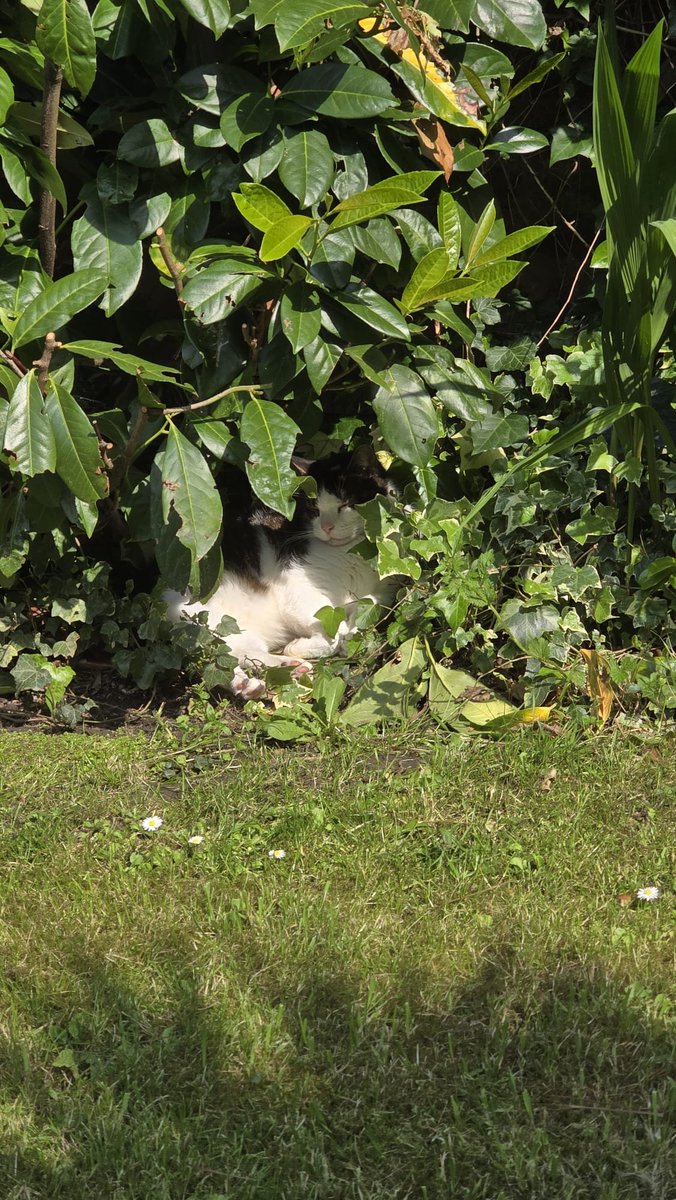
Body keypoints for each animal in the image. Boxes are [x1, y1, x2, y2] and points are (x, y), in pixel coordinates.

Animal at [164, 448, 396, 696]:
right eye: (314, 509)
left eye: (345, 505)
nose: (326, 527)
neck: (353, 552)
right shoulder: (298, 588)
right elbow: (332, 627)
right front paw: (312, 643)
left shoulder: (386, 587)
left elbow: (368, 607)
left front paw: (350, 631)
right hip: (203, 622)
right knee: (215, 659)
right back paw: (249, 682)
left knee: (237, 653)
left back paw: (280, 671)